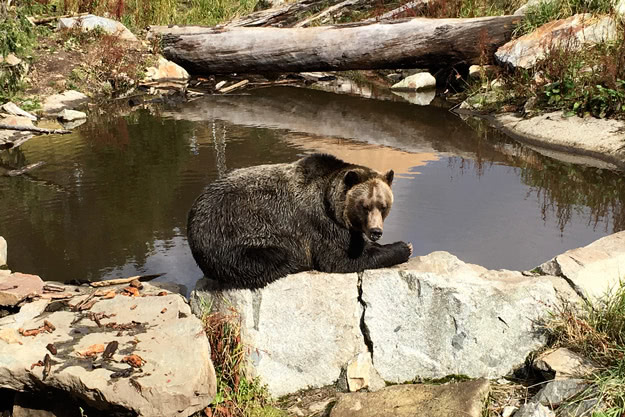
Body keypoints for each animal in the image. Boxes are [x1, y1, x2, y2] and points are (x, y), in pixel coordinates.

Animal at [188, 154, 412, 290]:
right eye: (364, 206)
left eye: (383, 206)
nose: (376, 231)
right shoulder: (318, 223)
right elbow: (340, 258)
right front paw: (404, 246)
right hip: (232, 233)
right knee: (272, 258)